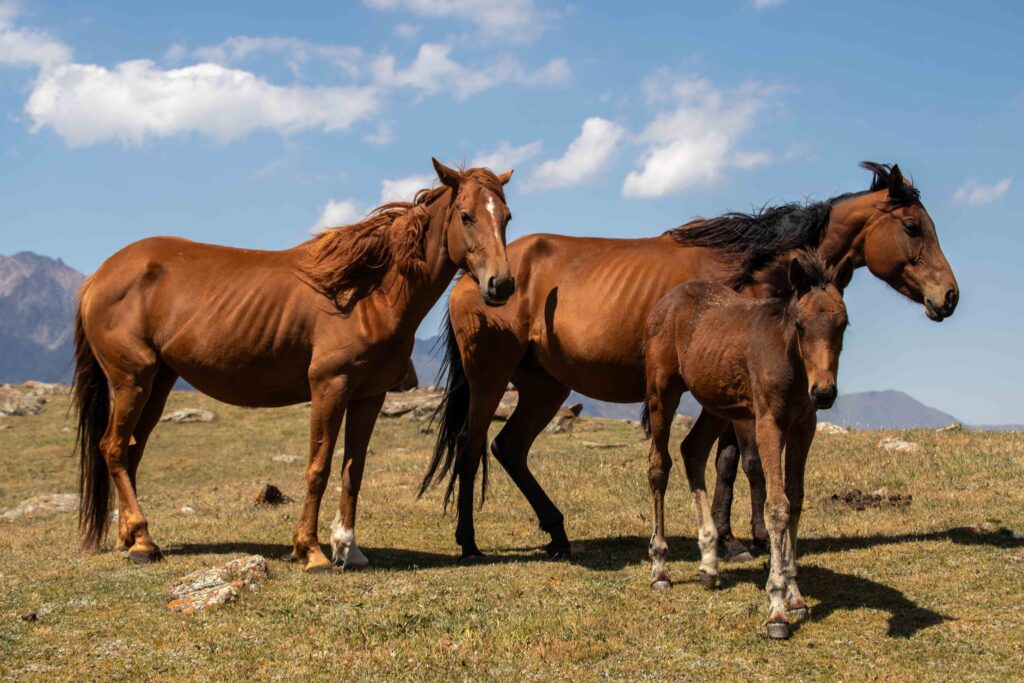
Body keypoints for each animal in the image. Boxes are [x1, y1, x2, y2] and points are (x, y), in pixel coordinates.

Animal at [72, 159, 516, 574]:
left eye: (506, 217)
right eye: (466, 215)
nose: (502, 284)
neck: (366, 294)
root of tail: (98, 277)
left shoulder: (369, 396)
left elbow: (353, 472)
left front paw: (348, 548)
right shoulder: (329, 387)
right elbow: (318, 469)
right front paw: (312, 551)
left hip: (158, 384)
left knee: (130, 452)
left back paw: (130, 539)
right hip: (132, 381)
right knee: (113, 448)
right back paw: (143, 541)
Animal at [422, 162, 958, 561]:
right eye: (913, 226)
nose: (949, 296)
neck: (752, 274)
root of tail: (477, 275)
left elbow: (724, 462)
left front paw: (730, 536)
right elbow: (749, 462)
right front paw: (749, 538)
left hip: (544, 387)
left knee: (508, 448)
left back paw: (556, 532)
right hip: (491, 379)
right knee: (470, 447)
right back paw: (469, 542)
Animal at [643, 249, 852, 639]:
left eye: (843, 325)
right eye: (800, 325)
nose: (824, 392)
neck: (790, 360)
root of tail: (664, 302)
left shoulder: (804, 426)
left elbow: (796, 500)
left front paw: (796, 597)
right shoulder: (768, 423)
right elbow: (777, 506)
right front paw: (777, 609)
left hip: (717, 403)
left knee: (692, 450)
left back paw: (709, 563)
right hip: (662, 391)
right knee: (659, 465)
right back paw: (660, 569)